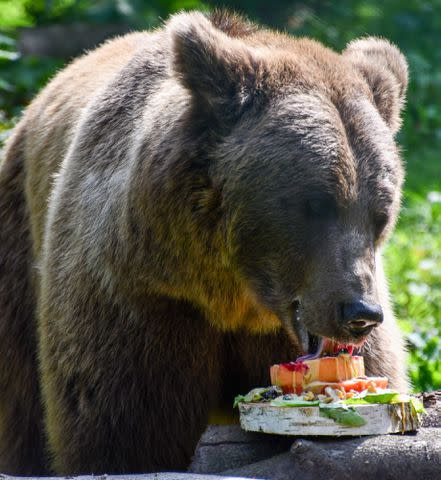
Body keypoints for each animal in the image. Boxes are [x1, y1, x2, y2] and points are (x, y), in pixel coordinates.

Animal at [0, 9, 408, 474]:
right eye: (317, 205)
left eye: (380, 214)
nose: (360, 312)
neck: (230, 294)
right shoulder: (139, 300)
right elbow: (120, 432)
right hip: (19, 246)